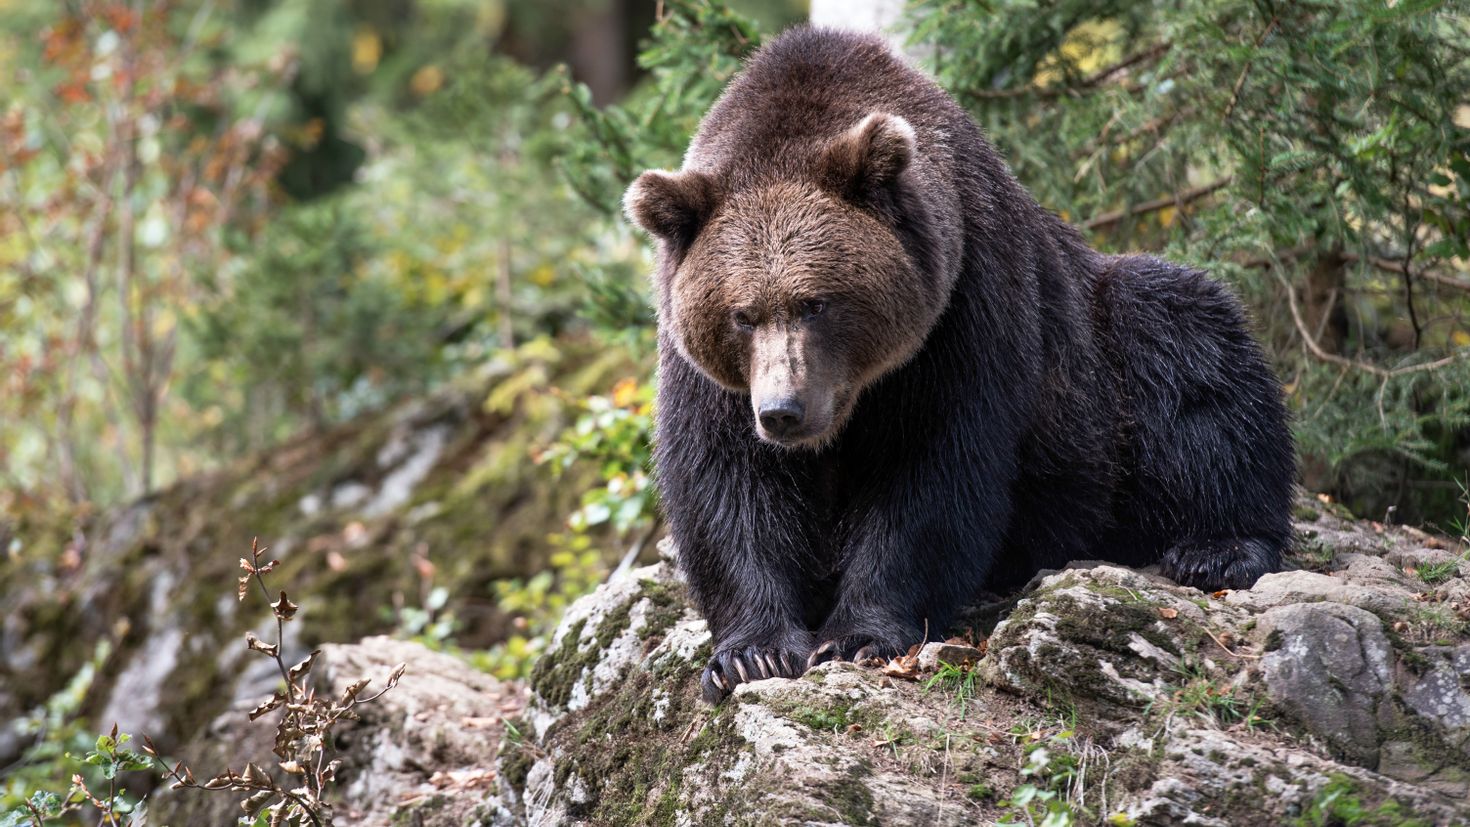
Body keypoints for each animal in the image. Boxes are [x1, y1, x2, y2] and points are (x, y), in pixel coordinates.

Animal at [626, 25, 1293, 702]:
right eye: (742, 314)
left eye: (816, 302)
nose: (784, 412)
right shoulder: (707, 374)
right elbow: (726, 483)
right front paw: (751, 653)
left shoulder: (964, 306)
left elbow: (931, 472)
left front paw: (860, 635)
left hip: (1102, 369)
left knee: (1185, 345)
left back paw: (1218, 547)